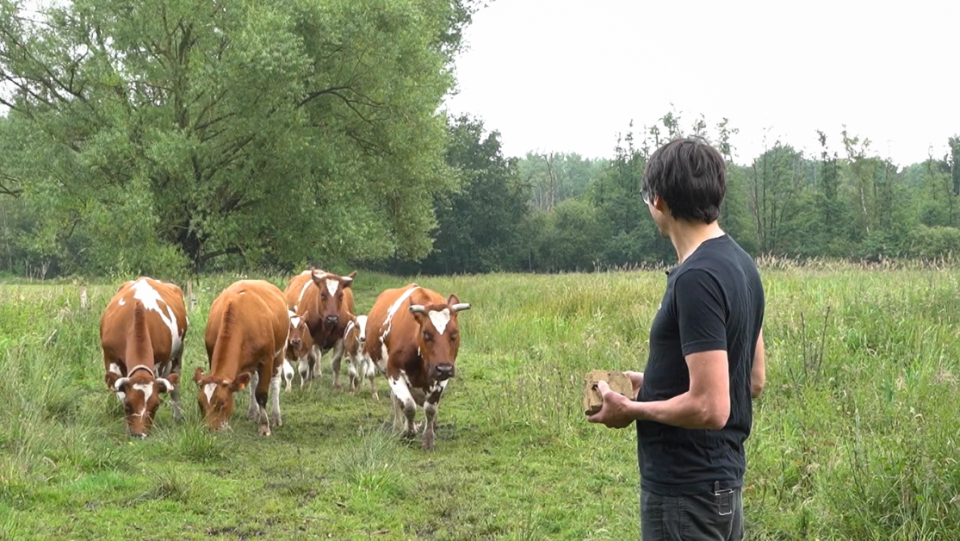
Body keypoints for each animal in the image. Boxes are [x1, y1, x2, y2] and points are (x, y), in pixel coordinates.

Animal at [99, 276, 188, 436]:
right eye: (128, 406)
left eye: (156, 406)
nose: (140, 434)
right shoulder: (110, 358)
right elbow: (120, 392)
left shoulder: (160, 363)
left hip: (178, 352)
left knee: (176, 386)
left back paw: (178, 416)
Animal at [192, 278, 288, 434]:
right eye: (200, 403)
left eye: (222, 403)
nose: (210, 429)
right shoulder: (211, 353)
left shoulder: (266, 359)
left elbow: (261, 393)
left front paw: (264, 425)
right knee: (253, 382)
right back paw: (253, 412)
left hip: (280, 351)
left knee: (275, 382)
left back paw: (275, 416)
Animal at [364, 284, 472, 450]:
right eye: (426, 333)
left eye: (454, 334)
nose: (444, 368)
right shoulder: (394, 372)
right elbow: (408, 405)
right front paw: (408, 432)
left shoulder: (442, 377)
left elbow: (430, 408)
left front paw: (428, 438)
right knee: (397, 400)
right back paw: (398, 427)